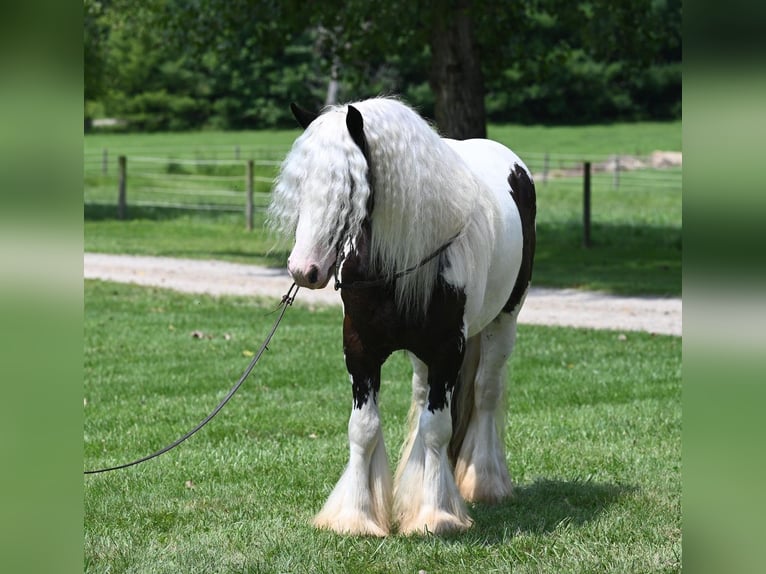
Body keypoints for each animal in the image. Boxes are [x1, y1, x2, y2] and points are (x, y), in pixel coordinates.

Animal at [270, 97, 540, 536]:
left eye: (350, 184)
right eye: (301, 180)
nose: (303, 269)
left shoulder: (448, 351)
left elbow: (437, 429)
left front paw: (435, 514)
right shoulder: (359, 350)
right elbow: (364, 428)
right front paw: (356, 516)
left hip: (504, 322)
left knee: (485, 392)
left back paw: (484, 483)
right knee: (421, 397)